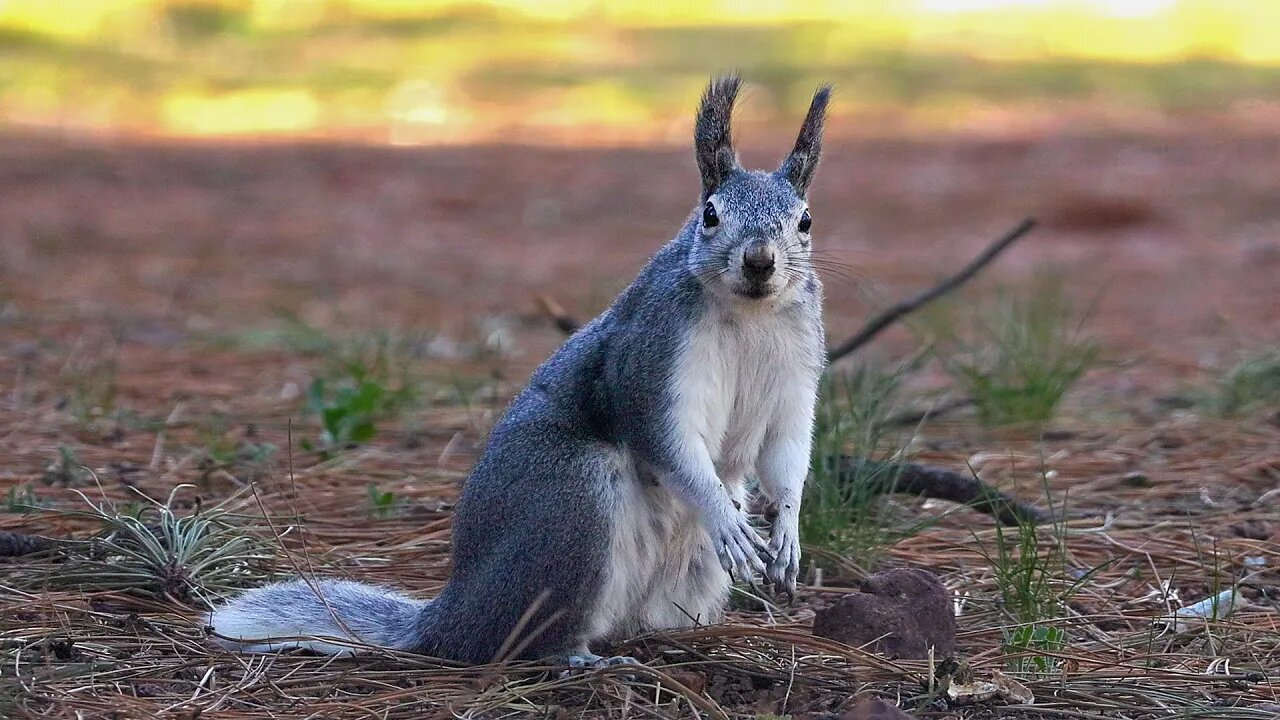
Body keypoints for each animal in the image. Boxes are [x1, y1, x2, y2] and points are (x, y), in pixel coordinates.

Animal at [209, 74, 829, 666]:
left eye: (805, 221)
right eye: (709, 216)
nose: (759, 261)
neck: (749, 313)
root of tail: (453, 617)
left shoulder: (798, 377)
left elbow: (786, 455)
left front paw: (787, 535)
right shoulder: (650, 364)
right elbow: (672, 444)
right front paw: (725, 519)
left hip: (685, 571)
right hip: (571, 501)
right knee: (536, 634)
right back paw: (580, 657)